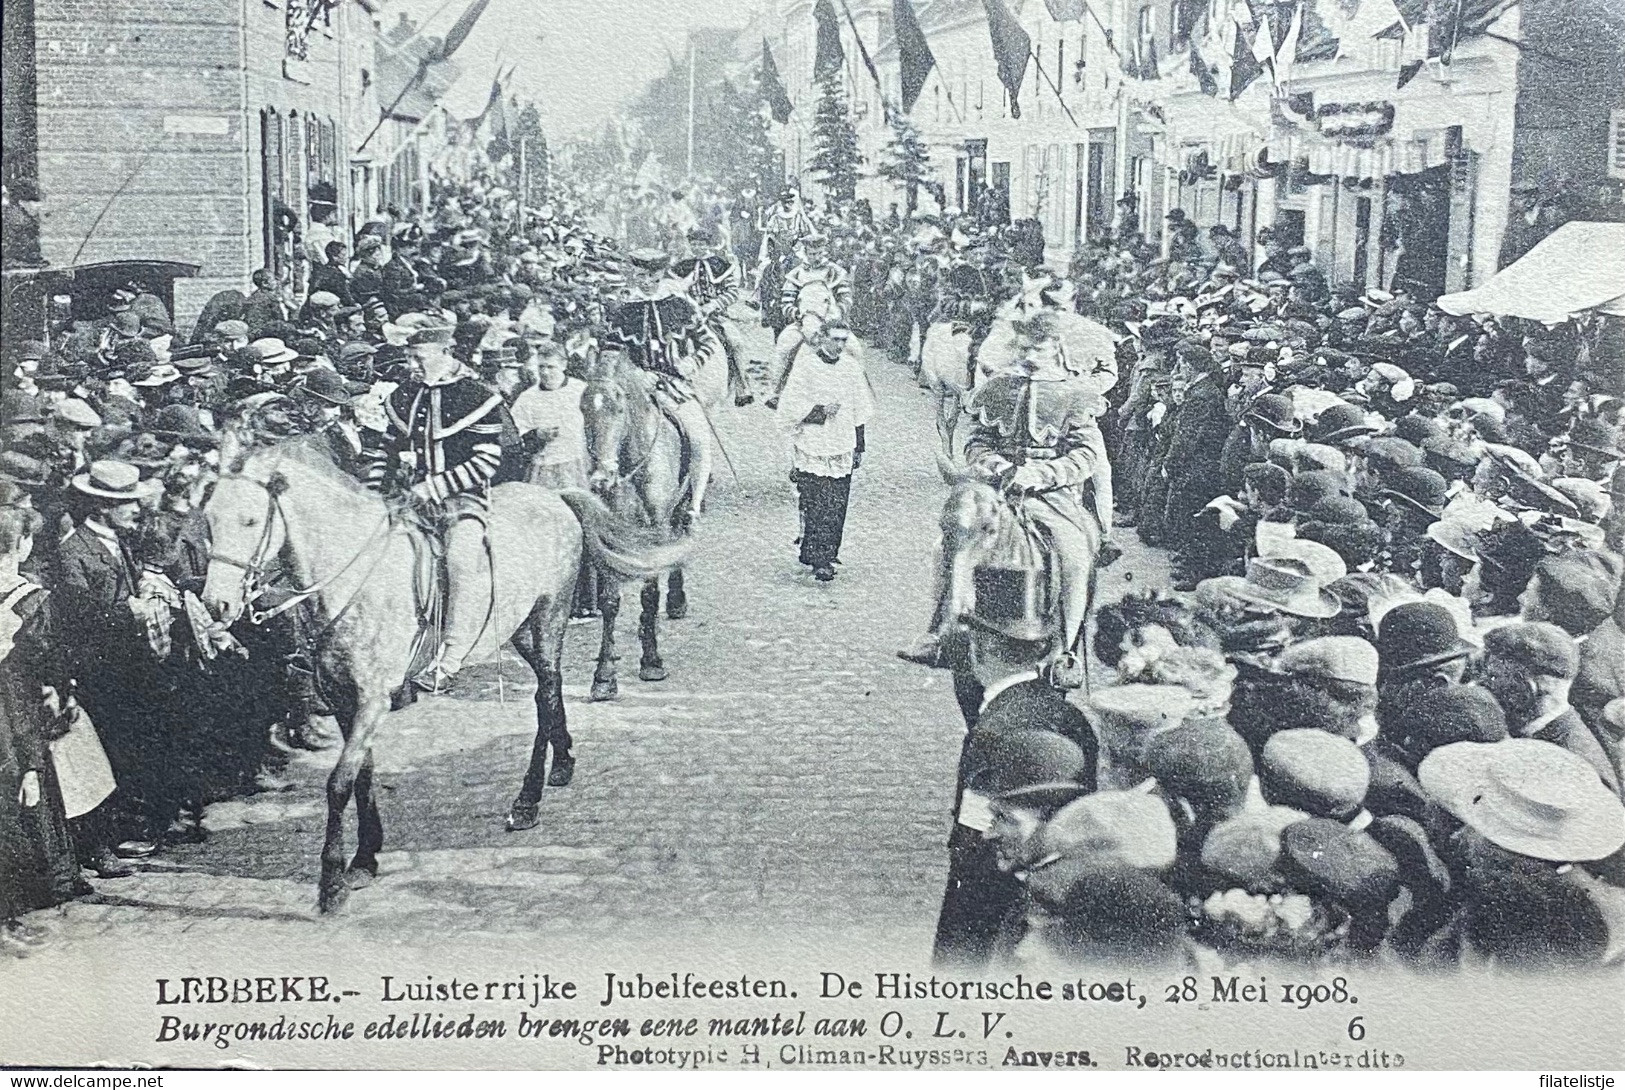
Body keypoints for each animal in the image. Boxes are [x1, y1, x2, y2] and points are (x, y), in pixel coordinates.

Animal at [201, 435, 685, 909]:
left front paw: (332, 883)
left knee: (546, 695)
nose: (216, 605)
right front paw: (365, 859)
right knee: (551, 689)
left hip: (548, 618)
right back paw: (562, 762)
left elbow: (339, 783)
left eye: (249, 520)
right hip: (517, 629)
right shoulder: (343, 700)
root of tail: (553, 497)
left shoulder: (373, 698)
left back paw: (527, 802)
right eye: (208, 519)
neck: (352, 579)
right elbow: (363, 776)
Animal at [585, 354, 711, 705]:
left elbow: (650, 596)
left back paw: (676, 602)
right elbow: (609, 601)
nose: (601, 480)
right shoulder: (611, 535)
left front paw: (652, 661)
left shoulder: (656, 529)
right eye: (583, 408)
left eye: (618, 409)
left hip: (681, 509)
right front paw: (604, 676)